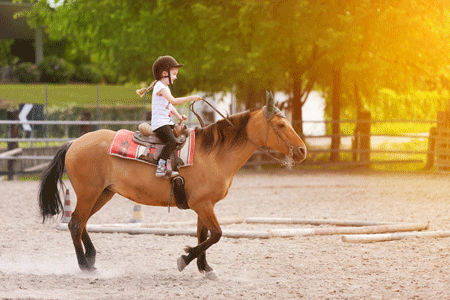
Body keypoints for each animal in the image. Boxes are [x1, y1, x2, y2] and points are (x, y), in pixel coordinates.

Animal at [38, 97, 308, 280]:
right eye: (281, 125)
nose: (302, 150)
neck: (213, 154)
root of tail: (74, 142)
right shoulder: (203, 204)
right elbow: (216, 234)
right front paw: (185, 258)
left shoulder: (203, 205)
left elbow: (204, 235)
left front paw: (205, 268)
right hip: (89, 192)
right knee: (75, 223)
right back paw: (85, 266)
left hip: (103, 193)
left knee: (82, 223)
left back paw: (92, 261)